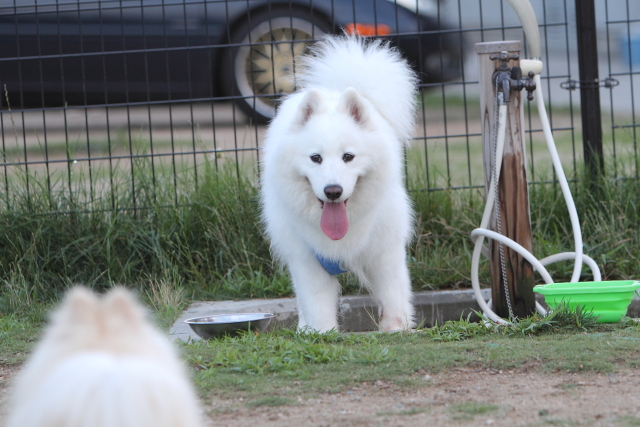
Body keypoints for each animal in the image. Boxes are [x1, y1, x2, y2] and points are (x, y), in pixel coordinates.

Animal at [260, 35, 418, 332]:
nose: (333, 191)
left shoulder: (386, 251)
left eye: (348, 157)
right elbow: (316, 302)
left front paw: (396, 328)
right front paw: (321, 333)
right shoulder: (307, 260)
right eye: (316, 158)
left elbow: (393, 293)